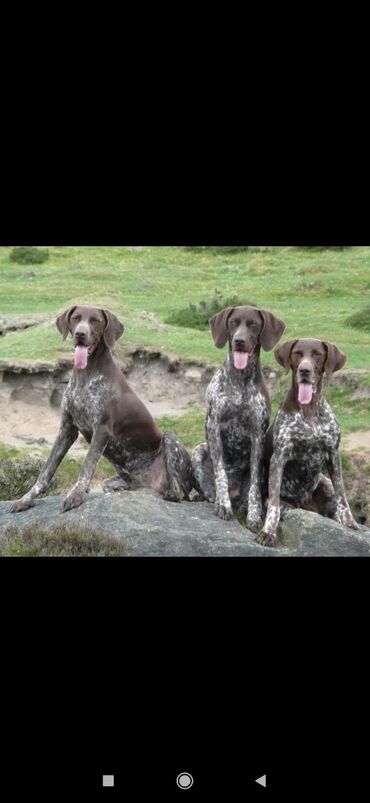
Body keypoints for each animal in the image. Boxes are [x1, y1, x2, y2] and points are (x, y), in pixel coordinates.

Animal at [10, 304, 192, 512]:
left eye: (95, 321)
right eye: (76, 318)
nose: (80, 334)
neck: (85, 376)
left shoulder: (102, 429)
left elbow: (87, 465)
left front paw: (76, 494)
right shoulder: (67, 429)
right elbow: (46, 470)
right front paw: (26, 498)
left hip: (170, 440)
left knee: (178, 491)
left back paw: (171, 492)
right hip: (112, 483)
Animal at [192, 306, 284, 528]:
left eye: (253, 324)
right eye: (233, 322)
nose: (239, 341)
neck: (240, 380)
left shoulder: (258, 436)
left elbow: (254, 486)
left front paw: (254, 514)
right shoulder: (214, 427)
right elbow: (221, 474)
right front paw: (223, 505)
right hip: (199, 450)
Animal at [256, 340, 360, 548]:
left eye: (317, 354)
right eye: (297, 353)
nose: (304, 370)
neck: (310, 410)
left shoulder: (333, 453)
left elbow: (343, 495)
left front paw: (349, 522)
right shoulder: (279, 457)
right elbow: (274, 506)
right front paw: (268, 532)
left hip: (325, 484)